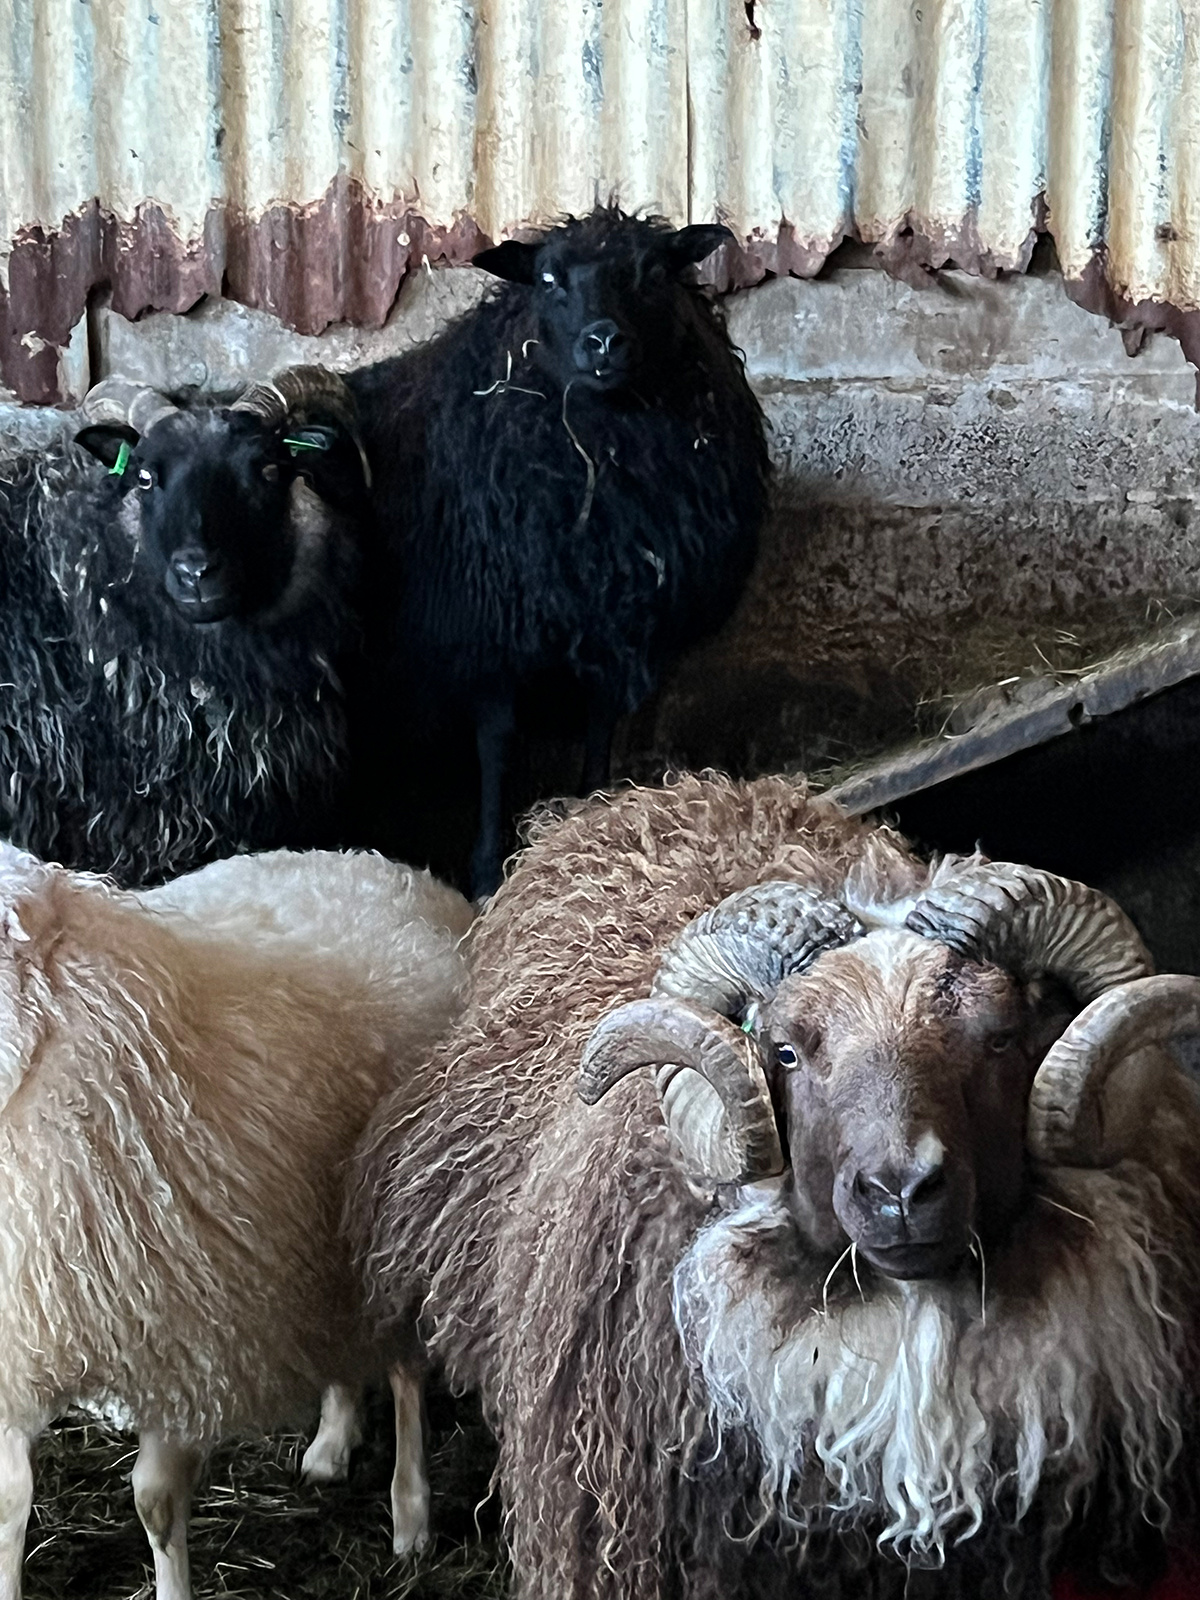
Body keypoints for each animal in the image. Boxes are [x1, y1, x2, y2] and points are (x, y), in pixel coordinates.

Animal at [0, 844, 473, 1593]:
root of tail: (391, 868)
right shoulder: (20, 1340)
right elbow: (10, 1505)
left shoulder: (187, 1337)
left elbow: (156, 1500)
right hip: (318, 1246)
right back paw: (333, 1441)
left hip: (401, 1227)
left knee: (404, 1372)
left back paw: (411, 1513)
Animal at [347, 206, 771, 896]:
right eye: (548, 279)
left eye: (653, 272)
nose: (603, 342)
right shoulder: (491, 634)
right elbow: (497, 743)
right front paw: (487, 872)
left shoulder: (611, 625)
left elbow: (600, 728)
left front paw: (593, 814)